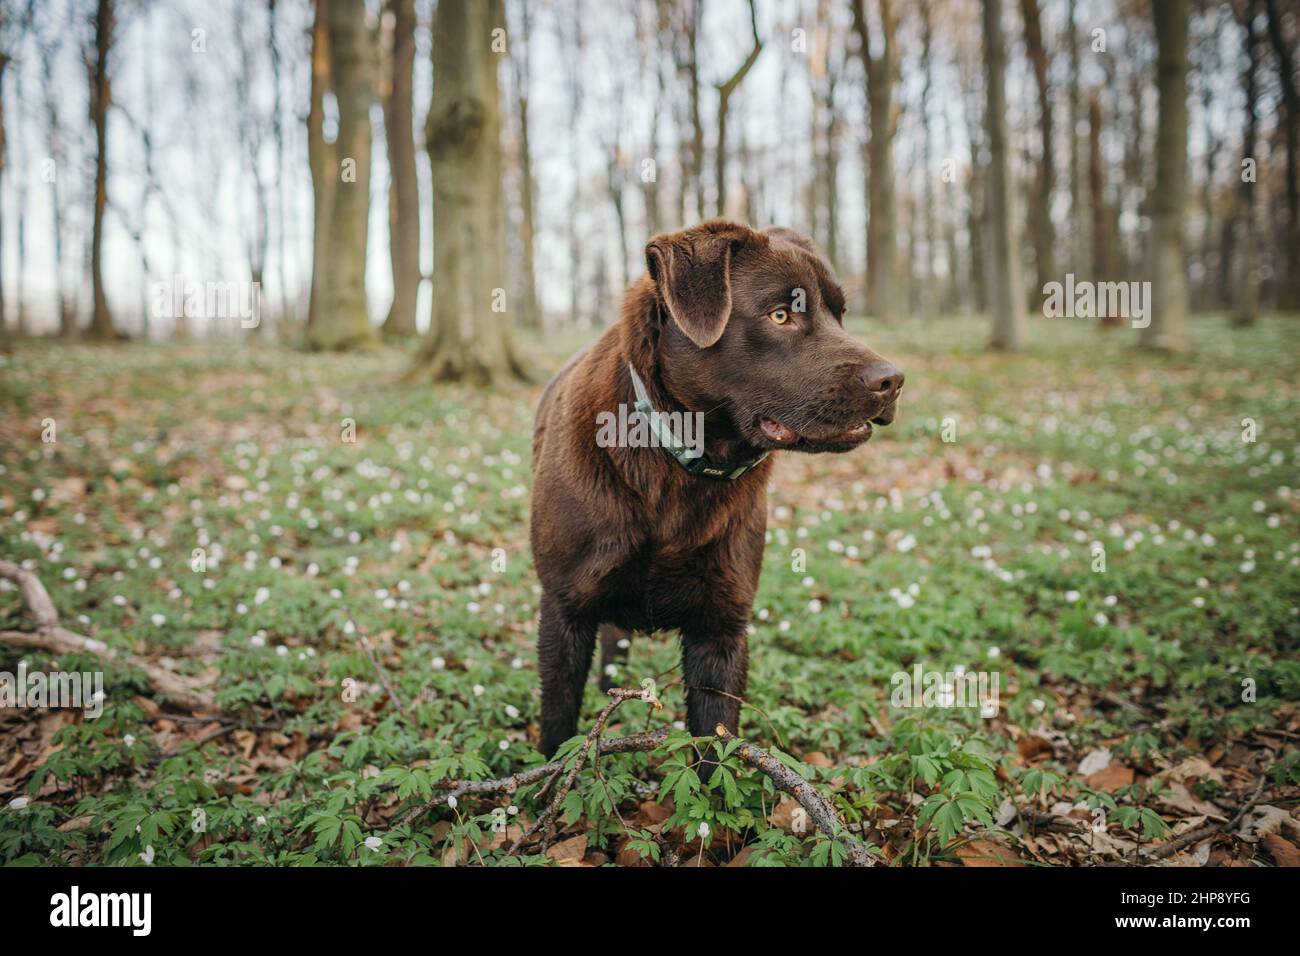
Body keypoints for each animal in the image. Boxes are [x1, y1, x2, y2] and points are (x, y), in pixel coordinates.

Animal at [530, 221, 904, 759]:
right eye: (780, 315)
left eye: (840, 315)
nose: (893, 381)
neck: (681, 464)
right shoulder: (564, 611)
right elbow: (559, 729)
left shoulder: (721, 628)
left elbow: (715, 747)